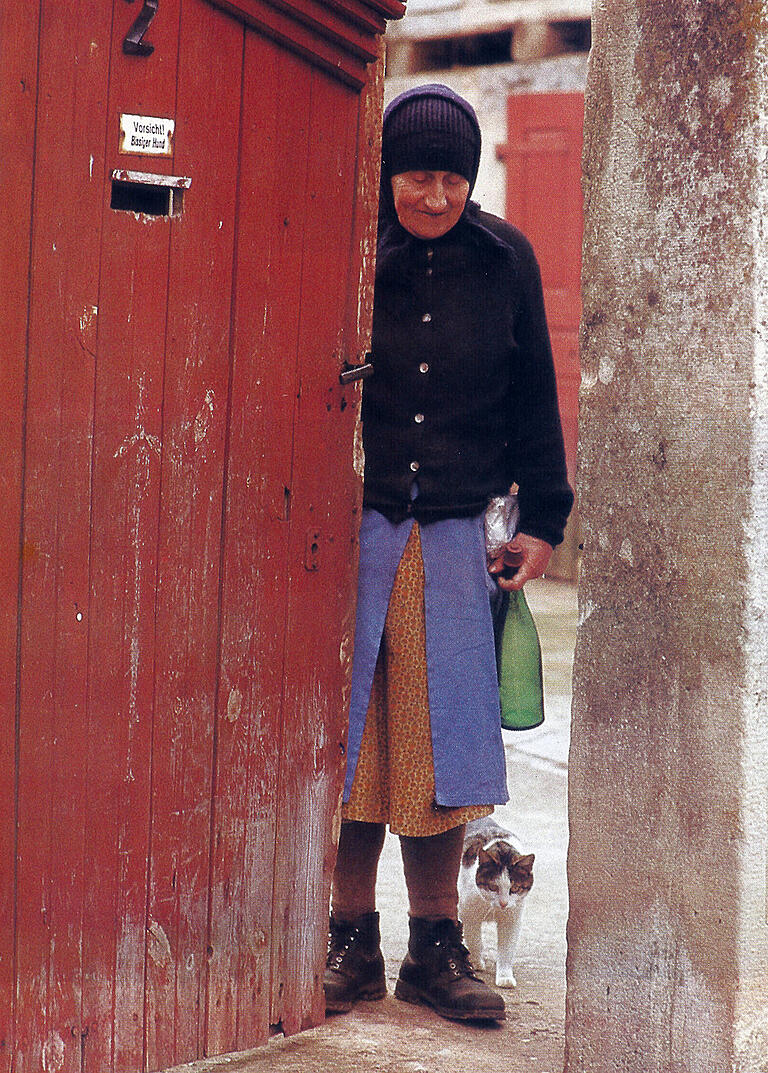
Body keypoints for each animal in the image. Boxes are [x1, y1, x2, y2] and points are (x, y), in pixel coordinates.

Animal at [456, 815, 534, 982]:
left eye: (515, 888)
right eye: (492, 887)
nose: (503, 903)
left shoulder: (511, 919)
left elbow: (506, 949)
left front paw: (505, 976)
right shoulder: (468, 913)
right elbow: (474, 939)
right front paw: (477, 962)